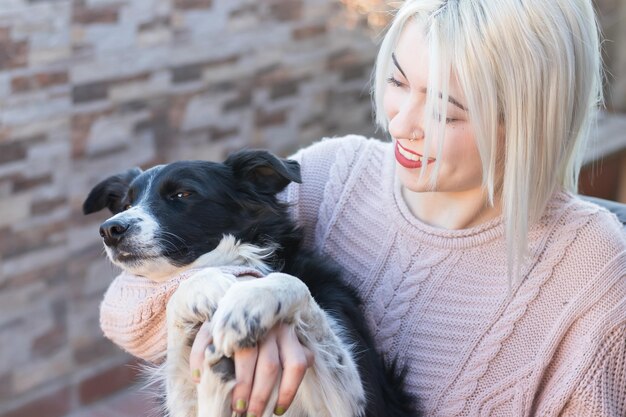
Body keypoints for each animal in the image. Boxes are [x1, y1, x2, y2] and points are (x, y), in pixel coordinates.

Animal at [80, 150, 416, 416]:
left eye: (182, 194)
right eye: (126, 204)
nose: (110, 229)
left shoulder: (364, 403)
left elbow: (295, 285)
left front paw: (248, 306)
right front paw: (208, 288)